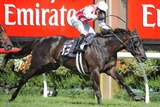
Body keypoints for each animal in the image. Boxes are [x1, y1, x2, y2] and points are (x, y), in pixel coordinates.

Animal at [1, 28, 146, 104]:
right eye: (136, 43)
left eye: (141, 42)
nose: (144, 57)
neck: (105, 47)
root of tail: (39, 40)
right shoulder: (94, 70)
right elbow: (97, 89)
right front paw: (100, 103)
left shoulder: (110, 69)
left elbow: (123, 82)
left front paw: (137, 97)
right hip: (37, 64)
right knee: (24, 78)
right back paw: (12, 96)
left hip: (49, 66)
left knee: (24, 78)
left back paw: (8, 86)